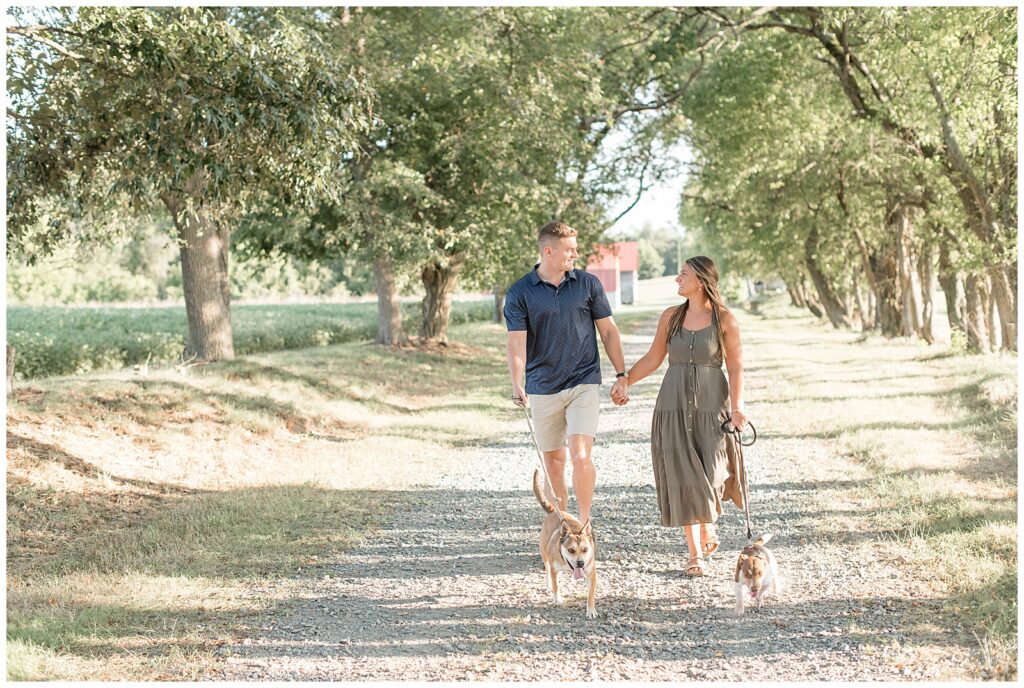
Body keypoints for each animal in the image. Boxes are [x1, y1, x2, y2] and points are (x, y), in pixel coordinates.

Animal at [532, 466, 598, 618]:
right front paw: (557, 599)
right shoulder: (554, 568)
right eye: (571, 550)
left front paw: (591, 610)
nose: (580, 563)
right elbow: (556, 585)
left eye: (585, 549)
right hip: (544, 553)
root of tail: (554, 511)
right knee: (548, 571)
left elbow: (591, 594)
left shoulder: (591, 573)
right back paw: (548, 584)